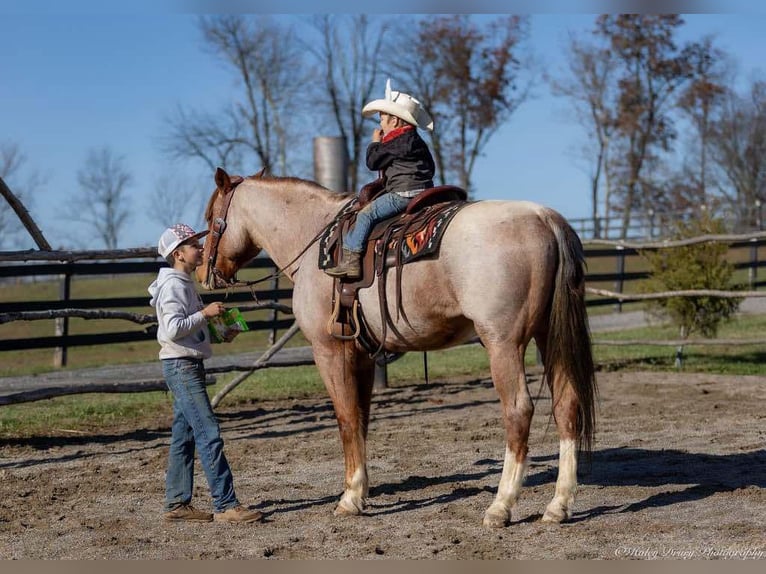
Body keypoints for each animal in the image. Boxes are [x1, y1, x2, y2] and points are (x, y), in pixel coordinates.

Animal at [198, 168, 600, 532]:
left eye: (210, 218)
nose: (205, 273)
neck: (315, 242)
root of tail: (544, 218)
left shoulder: (329, 351)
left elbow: (345, 418)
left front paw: (349, 499)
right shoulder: (359, 355)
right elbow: (361, 418)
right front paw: (361, 490)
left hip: (503, 344)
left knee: (518, 411)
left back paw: (500, 506)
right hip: (549, 338)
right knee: (567, 405)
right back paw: (558, 505)